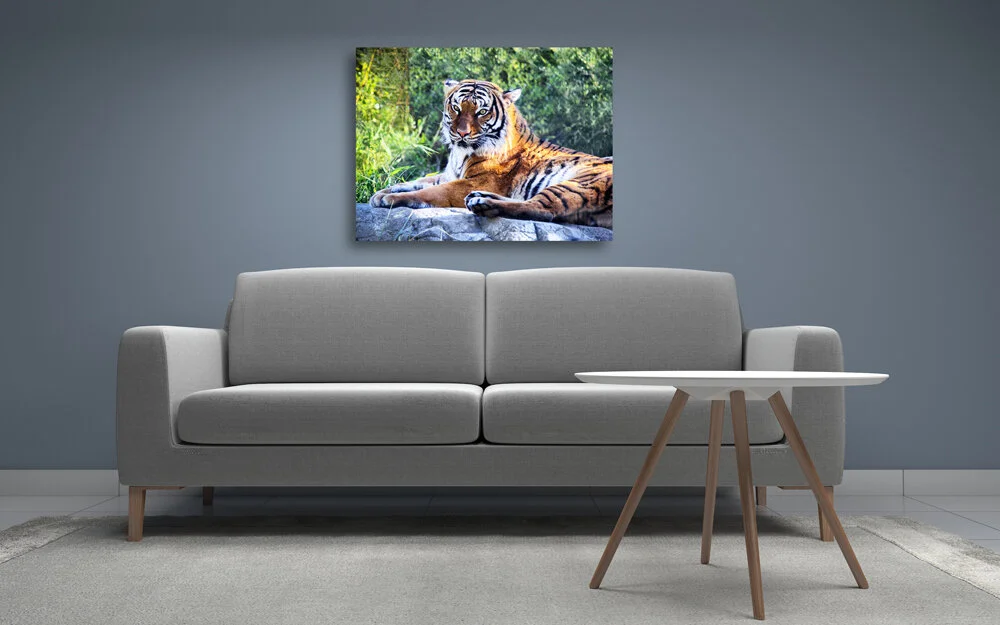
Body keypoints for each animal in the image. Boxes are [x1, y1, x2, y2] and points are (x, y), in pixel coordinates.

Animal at [369, 79, 612, 228]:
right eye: (456, 108)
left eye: (482, 112)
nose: (461, 133)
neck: (460, 153)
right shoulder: (449, 175)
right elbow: (418, 181)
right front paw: (382, 192)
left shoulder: (475, 181)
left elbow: (430, 192)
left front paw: (391, 198)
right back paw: (480, 198)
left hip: (580, 182)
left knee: (542, 209)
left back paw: (482, 202)